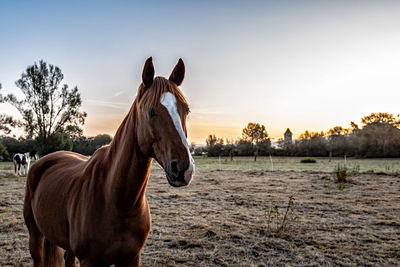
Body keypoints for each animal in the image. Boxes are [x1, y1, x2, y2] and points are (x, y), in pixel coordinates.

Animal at [23, 57, 195, 266]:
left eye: (186, 110)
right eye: (151, 112)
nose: (184, 168)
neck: (117, 200)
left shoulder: (132, 258)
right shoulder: (90, 261)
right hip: (35, 234)